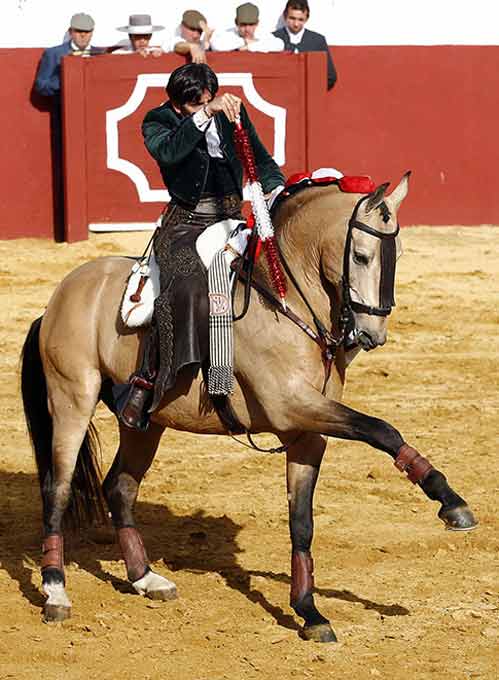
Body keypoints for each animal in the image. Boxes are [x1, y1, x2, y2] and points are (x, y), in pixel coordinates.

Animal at [21, 173, 478, 640]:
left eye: (398, 254)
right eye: (362, 256)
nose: (372, 335)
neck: (286, 300)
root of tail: (59, 298)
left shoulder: (307, 432)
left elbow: (302, 521)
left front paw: (309, 611)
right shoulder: (291, 405)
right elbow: (382, 428)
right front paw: (451, 502)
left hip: (143, 421)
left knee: (120, 485)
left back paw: (145, 578)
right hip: (72, 398)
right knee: (57, 487)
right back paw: (56, 592)